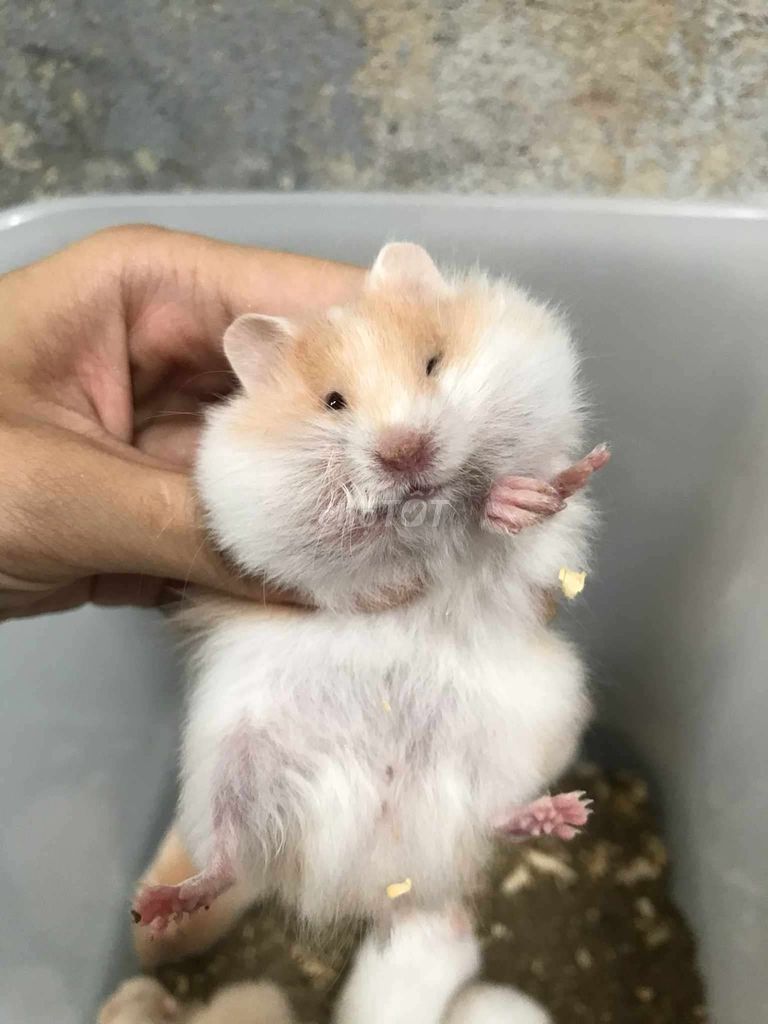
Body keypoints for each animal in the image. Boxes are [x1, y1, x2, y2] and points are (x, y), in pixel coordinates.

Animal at [131, 243, 608, 1019]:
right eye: (333, 402)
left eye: (433, 363)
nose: (403, 451)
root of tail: (381, 862)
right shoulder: (271, 529)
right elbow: (353, 536)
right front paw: (395, 507)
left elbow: (508, 518)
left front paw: (526, 493)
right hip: (225, 763)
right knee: (229, 858)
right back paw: (164, 904)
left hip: (523, 734)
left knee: (490, 814)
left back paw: (561, 816)